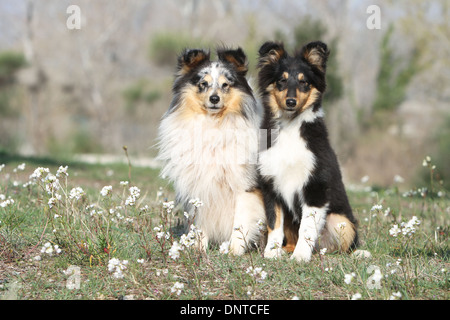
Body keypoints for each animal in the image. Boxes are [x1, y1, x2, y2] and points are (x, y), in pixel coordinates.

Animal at [157, 47, 266, 255]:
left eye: (225, 85)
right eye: (203, 84)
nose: (214, 99)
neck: (214, 124)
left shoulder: (245, 186)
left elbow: (240, 223)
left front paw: (234, 251)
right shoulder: (199, 184)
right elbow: (200, 223)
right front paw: (199, 249)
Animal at [256, 41, 358, 262]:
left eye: (304, 83)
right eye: (281, 80)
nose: (291, 102)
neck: (290, 126)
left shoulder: (315, 187)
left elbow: (307, 227)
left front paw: (301, 257)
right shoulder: (271, 186)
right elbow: (274, 223)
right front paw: (271, 252)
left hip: (341, 220)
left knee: (343, 246)